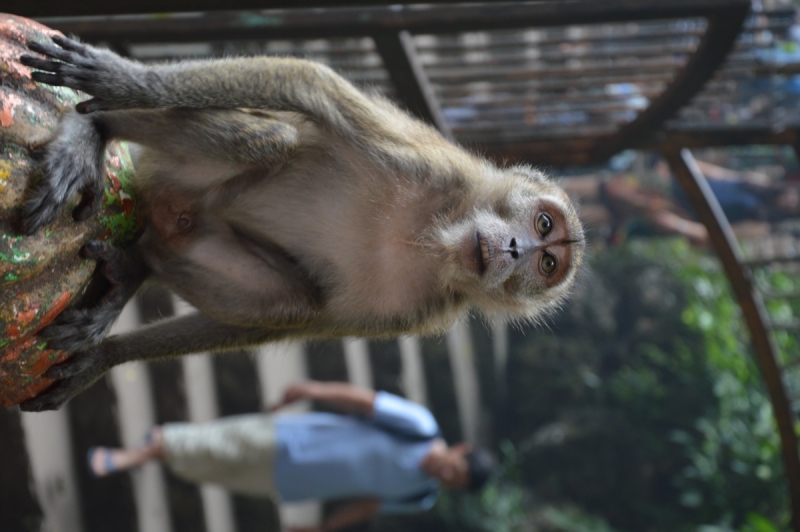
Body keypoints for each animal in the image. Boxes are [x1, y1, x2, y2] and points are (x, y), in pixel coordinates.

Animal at [15, 36, 584, 412]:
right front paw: (123, 81)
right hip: (171, 169)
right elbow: (310, 84)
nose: (517, 250)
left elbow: (305, 319)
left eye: (547, 261)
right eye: (542, 223)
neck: (437, 238)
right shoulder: (433, 169)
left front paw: (105, 357)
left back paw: (136, 266)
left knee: (289, 299)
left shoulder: (422, 311)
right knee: (275, 138)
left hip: (183, 228)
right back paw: (96, 127)